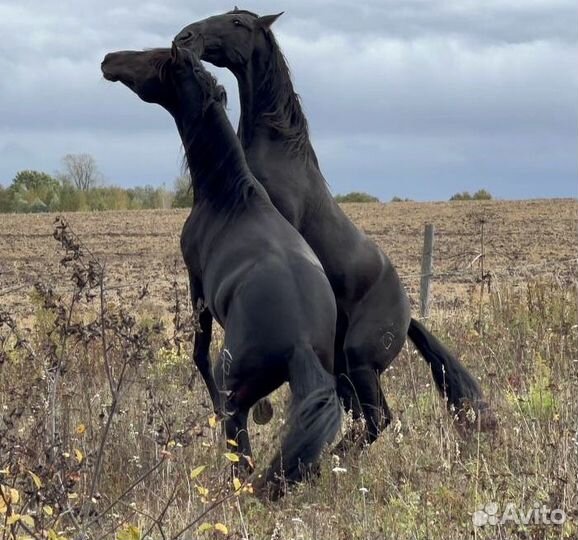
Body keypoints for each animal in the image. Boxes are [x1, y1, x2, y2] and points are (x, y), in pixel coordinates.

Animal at [101, 43, 340, 498]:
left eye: (155, 57)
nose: (109, 59)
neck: (230, 196)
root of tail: (300, 340)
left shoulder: (195, 282)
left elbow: (197, 350)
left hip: (235, 395)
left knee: (240, 457)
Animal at [173, 9, 492, 442]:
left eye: (238, 23)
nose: (186, 35)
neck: (274, 156)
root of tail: (407, 315)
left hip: (358, 360)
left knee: (376, 418)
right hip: (347, 366)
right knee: (368, 417)